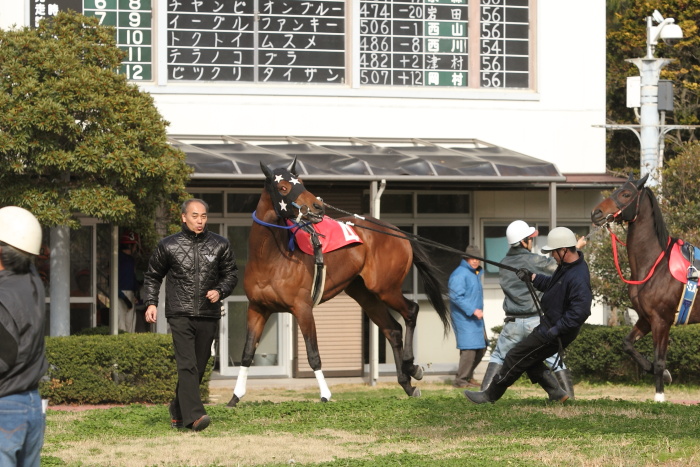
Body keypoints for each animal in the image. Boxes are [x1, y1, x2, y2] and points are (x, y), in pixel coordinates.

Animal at [227, 160, 452, 406]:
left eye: (302, 182)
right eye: (283, 187)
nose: (317, 206)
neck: (270, 258)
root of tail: (396, 231)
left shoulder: (302, 309)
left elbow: (313, 355)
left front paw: (325, 394)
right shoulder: (258, 308)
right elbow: (247, 353)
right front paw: (235, 397)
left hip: (385, 288)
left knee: (411, 310)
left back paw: (412, 366)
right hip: (364, 294)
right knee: (392, 329)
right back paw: (407, 383)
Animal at [592, 175, 700, 402]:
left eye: (626, 194)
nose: (596, 213)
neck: (655, 265)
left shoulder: (662, 321)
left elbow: (659, 360)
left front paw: (659, 396)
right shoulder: (645, 319)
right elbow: (627, 344)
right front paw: (663, 374)